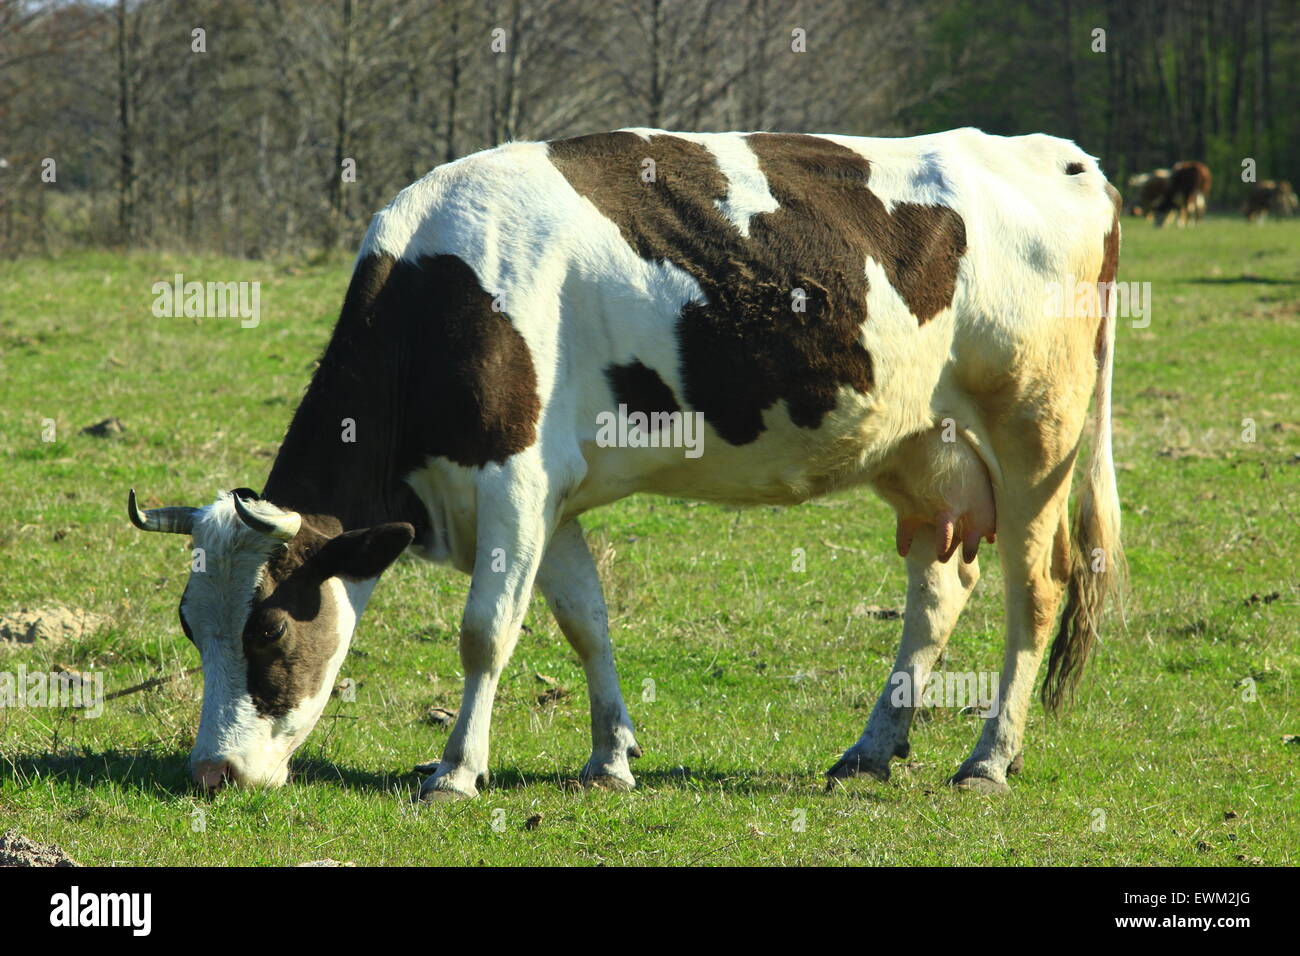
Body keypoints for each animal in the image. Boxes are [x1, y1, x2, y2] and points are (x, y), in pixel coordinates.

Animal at [128, 127, 1124, 800]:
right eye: (189, 624)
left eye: (267, 631)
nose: (211, 773)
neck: (446, 294)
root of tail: (1068, 158)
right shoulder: (552, 498)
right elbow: (585, 623)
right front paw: (610, 756)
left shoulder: (515, 482)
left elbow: (486, 631)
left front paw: (456, 771)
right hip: (922, 446)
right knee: (939, 588)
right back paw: (872, 748)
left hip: (1037, 432)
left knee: (1036, 589)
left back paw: (989, 759)